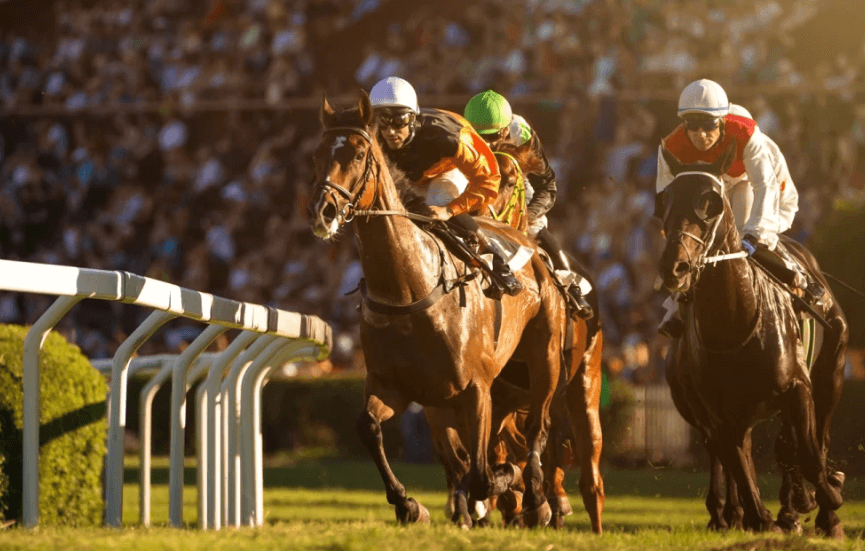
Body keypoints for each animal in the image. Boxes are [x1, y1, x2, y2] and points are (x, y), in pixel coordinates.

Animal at [308, 90, 567, 528]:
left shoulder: (475, 391)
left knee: (537, 428)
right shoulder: (394, 386)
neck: (409, 288)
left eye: (359, 153)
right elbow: (368, 427)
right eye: (317, 154)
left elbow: (482, 475)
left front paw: (503, 488)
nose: (322, 212)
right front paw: (408, 504)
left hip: (543, 358)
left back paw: (538, 500)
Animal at [424, 137, 605, 532]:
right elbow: (478, 456)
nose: (473, 223)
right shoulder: (474, 400)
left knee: (588, 471)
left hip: (585, 379)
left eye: (509, 179)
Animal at [655, 141, 848, 537]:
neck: (735, 321)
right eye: (663, 201)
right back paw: (739, 512)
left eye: (710, 202)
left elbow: (809, 453)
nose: (675, 267)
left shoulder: (798, 388)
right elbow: (740, 463)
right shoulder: (718, 412)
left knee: (812, 440)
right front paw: (759, 517)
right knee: (741, 451)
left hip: (831, 373)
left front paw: (827, 501)